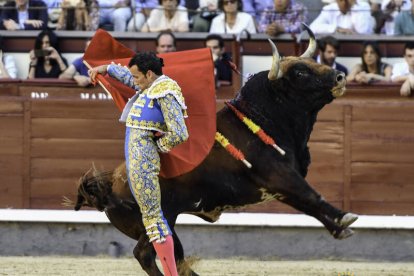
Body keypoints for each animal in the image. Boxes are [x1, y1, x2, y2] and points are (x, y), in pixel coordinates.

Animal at [71, 24, 356, 274]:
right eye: (299, 73)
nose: (340, 77)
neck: (263, 120)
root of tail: (110, 182)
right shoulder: (279, 177)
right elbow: (312, 196)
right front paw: (344, 218)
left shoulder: (280, 187)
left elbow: (308, 203)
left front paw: (339, 228)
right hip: (154, 217)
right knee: (146, 253)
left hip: (165, 221)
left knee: (174, 255)